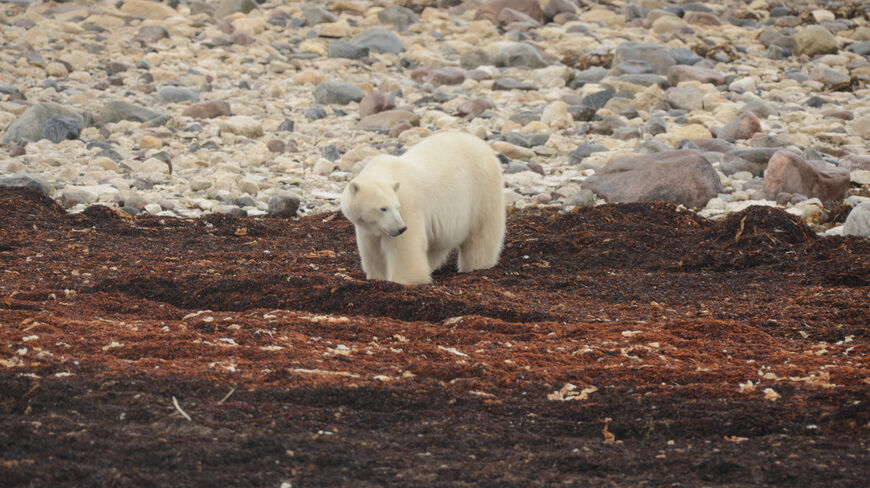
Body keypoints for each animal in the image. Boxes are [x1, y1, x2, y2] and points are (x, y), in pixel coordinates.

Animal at [340, 131, 505, 285]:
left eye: (397, 207)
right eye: (383, 208)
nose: (401, 228)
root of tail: (482, 144)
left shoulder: (409, 204)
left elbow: (405, 246)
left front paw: (404, 280)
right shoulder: (367, 227)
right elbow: (372, 250)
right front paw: (377, 277)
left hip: (481, 190)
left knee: (481, 233)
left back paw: (476, 265)